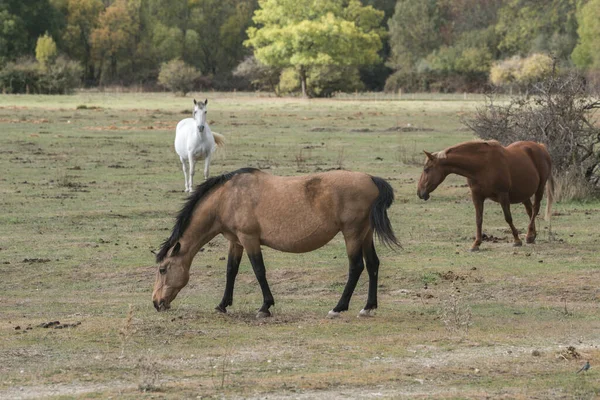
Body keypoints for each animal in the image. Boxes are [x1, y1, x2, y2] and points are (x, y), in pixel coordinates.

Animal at [152, 167, 400, 318]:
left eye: (163, 269)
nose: (156, 302)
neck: (227, 198)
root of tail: (370, 178)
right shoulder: (236, 242)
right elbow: (231, 270)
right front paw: (222, 305)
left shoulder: (249, 239)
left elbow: (259, 271)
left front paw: (265, 307)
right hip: (365, 234)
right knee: (373, 265)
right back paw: (367, 307)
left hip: (352, 234)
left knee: (356, 267)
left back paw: (338, 308)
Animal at [418, 141, 552, 252]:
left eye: (426, 169)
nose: (419, 192)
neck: (482, 165)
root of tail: (541, 147)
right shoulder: (477, 196)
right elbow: (478, 220)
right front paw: (476, 244)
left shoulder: (503, 195)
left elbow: (508, 218)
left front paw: (517, 240)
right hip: (524, 194)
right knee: (530, 211)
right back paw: (532, 235)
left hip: (540, 188)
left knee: (535, 209)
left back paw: (529, 236)